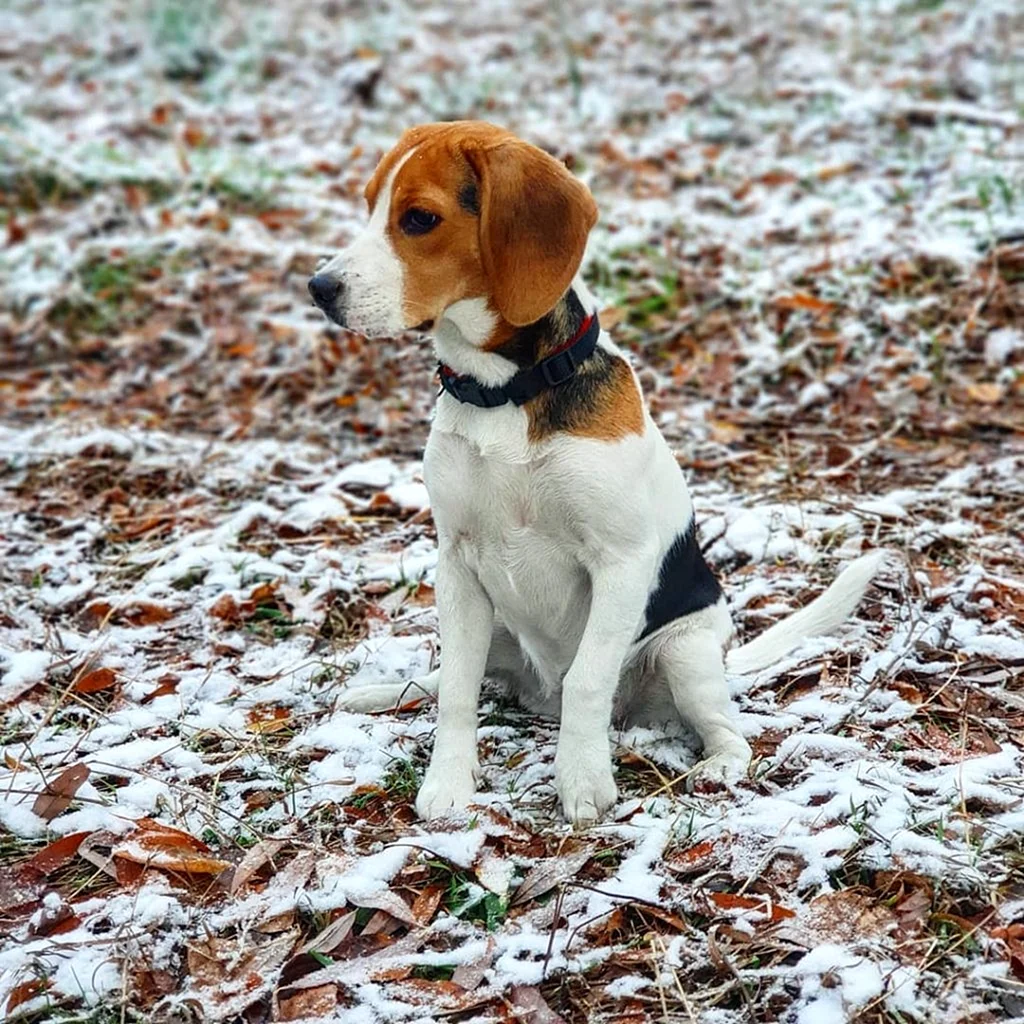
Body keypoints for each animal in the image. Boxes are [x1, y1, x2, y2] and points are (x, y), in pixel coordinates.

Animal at [307, 121, 884, 823]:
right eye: (370, 204)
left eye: (419, 218)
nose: (319, 288)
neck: (506, 392)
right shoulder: (458, 562)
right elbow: (458, 690)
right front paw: (449, 783)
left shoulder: (620, 561)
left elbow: (587, 678)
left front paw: (582, 782)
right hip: (496, 623)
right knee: (444, 677)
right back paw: (379, 693)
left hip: (687, 651)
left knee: (725, 728)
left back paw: (717, 765)